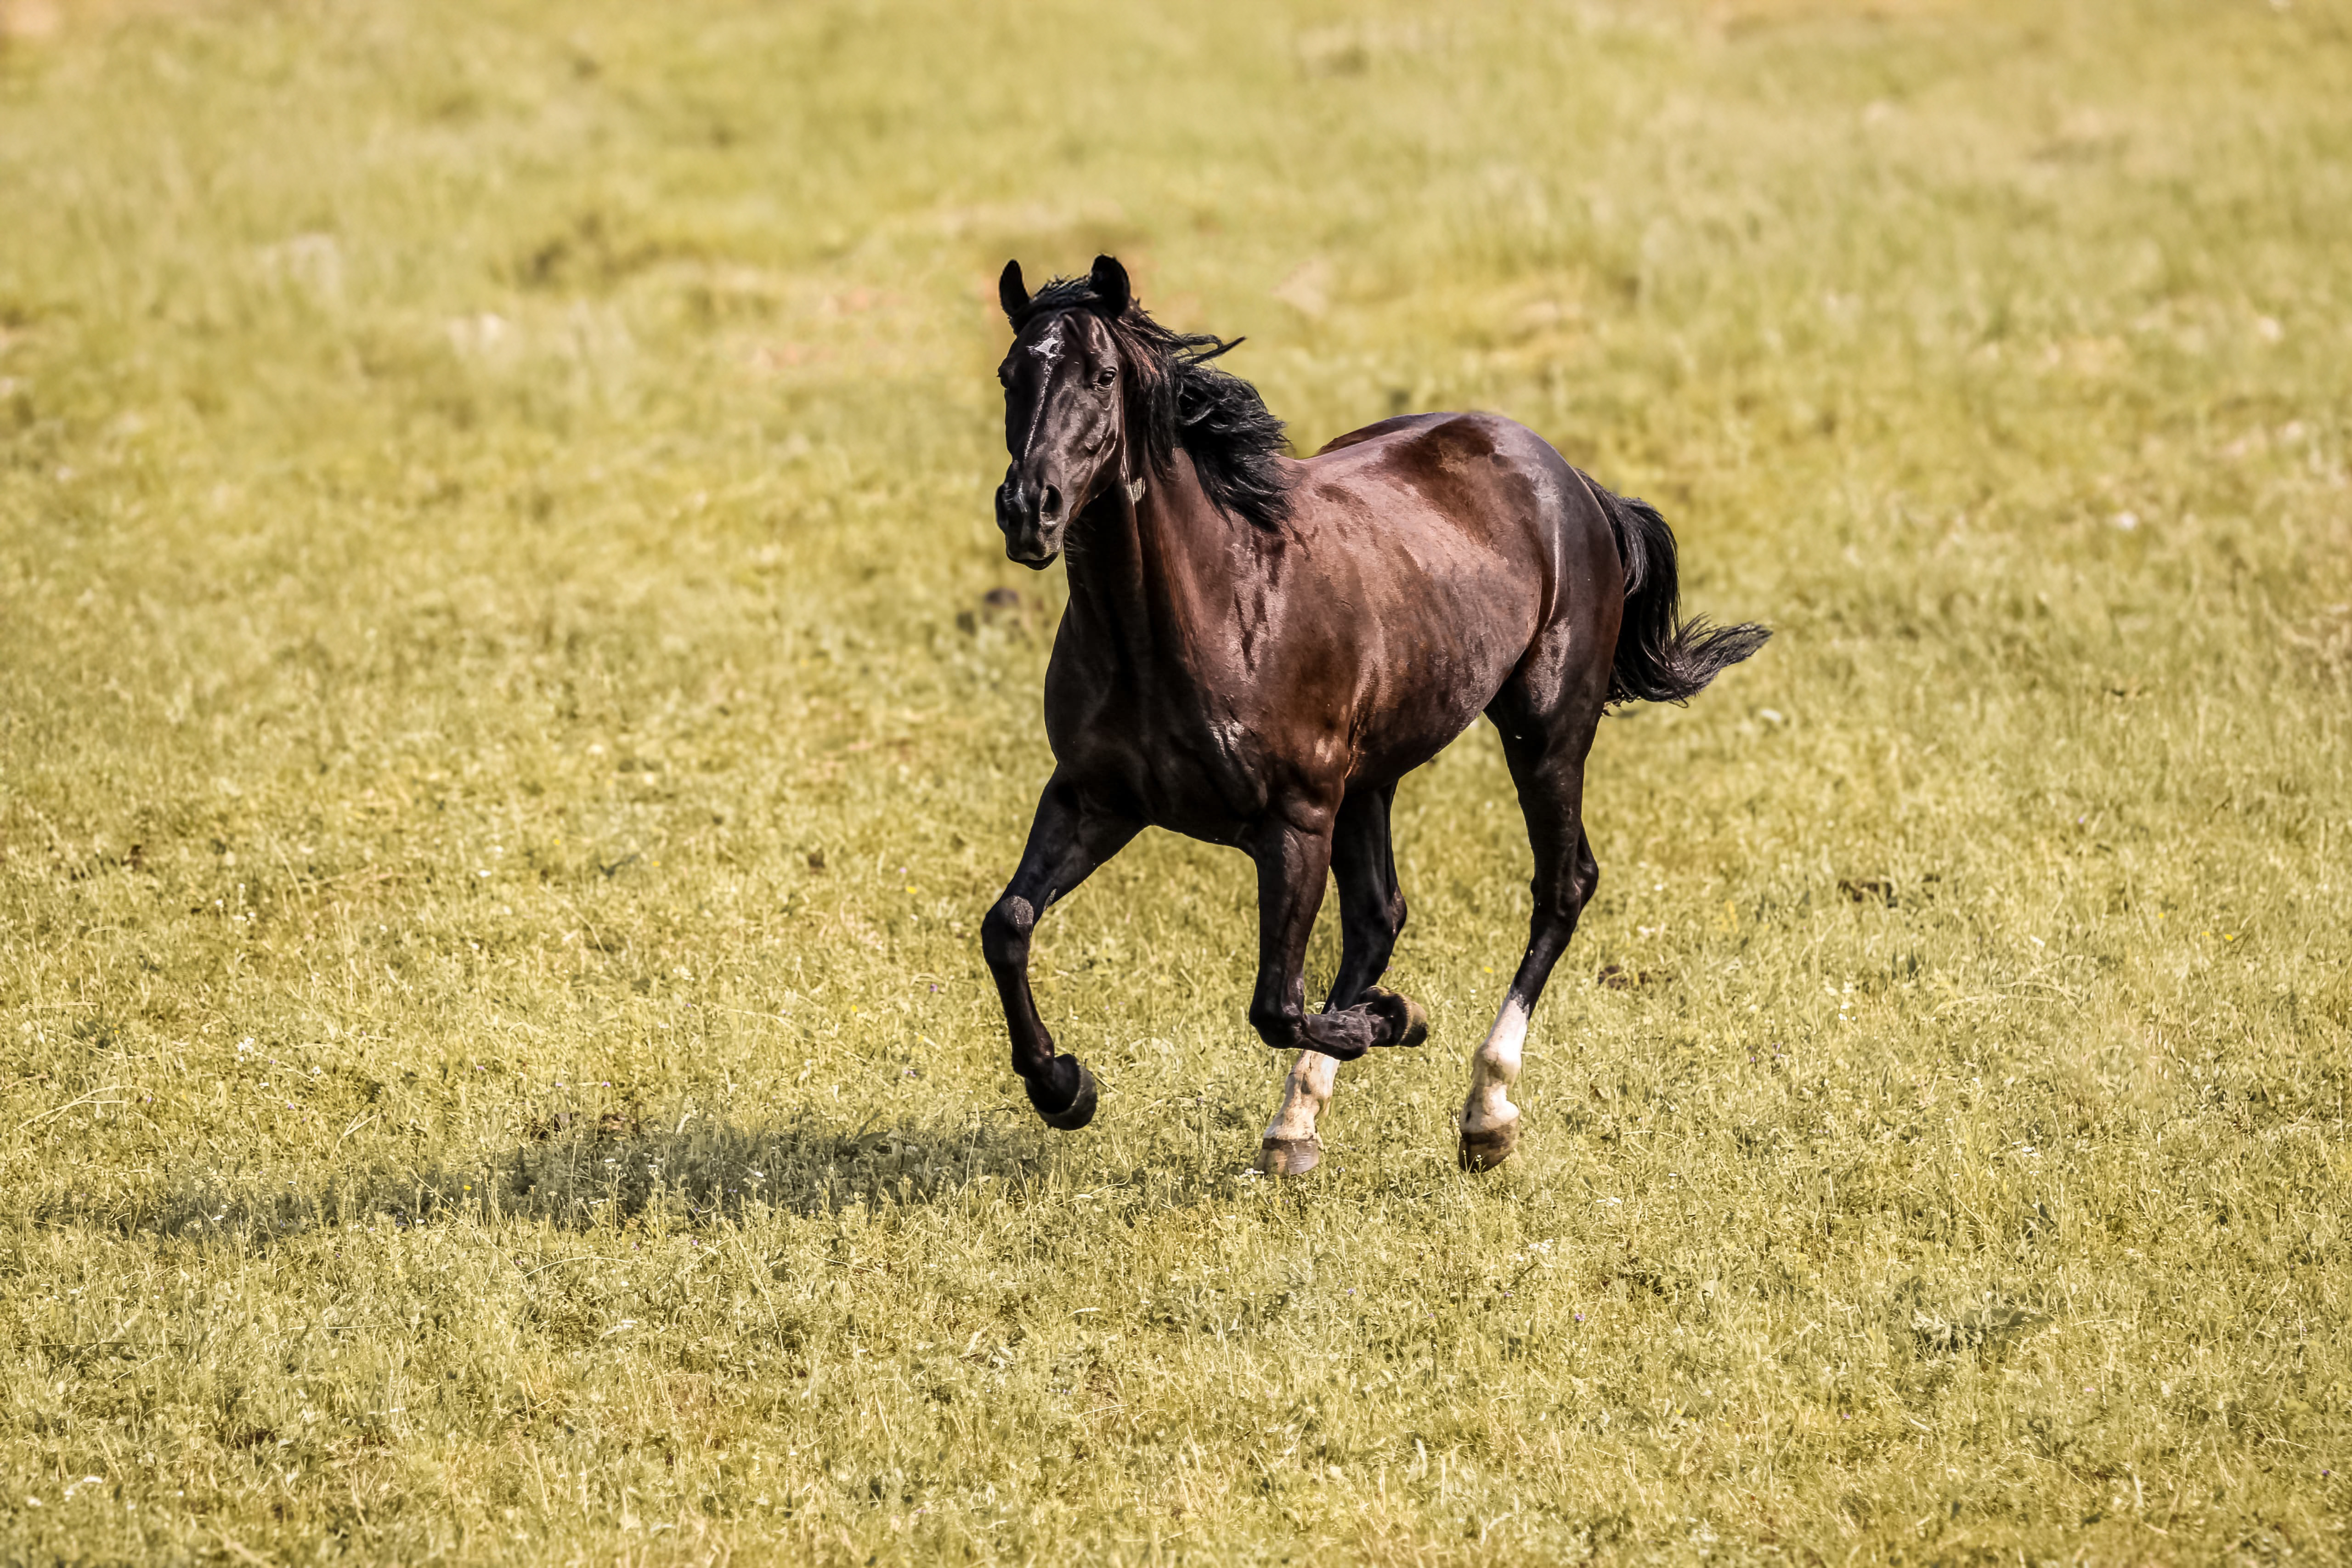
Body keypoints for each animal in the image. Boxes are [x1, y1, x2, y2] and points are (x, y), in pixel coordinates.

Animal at [980, 255, 1767, 1173]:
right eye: (1011, 374)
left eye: (1101, 376)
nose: (1029, 509)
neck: (1208, 612)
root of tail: (1569, 477)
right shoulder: (1093, 798)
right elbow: (1008, 924)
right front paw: (1063, 1087)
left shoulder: (1295, 821)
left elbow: (1276, 1004)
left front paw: (1397, 1017)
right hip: (1373, 777)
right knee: (1379, 916)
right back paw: (1296, 1125)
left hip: (1544, 734)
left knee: (1560, 886)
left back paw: (1485, 1109)